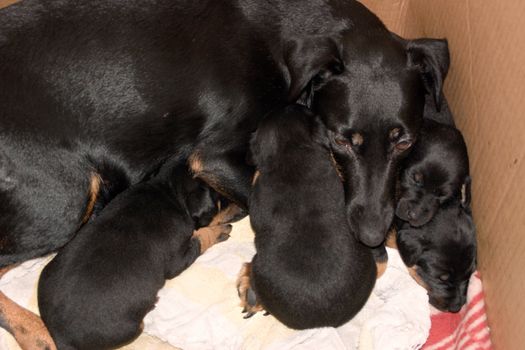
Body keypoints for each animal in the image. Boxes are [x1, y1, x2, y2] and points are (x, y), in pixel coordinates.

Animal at [37, 163, 231, 350]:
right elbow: (201, 239)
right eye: (221, 197)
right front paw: (219, 231)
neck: (168, 192)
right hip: (129, 328)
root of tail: (58, 336)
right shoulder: (177, 259)